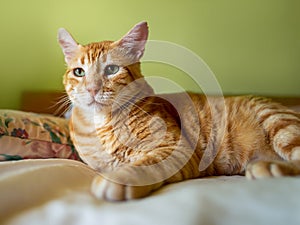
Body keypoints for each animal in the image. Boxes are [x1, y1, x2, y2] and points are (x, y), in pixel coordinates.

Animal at [58, 21, 300, 200]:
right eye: (79, 72)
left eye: (111, 69)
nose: (92, 88)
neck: (103, 124)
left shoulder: (175, 148)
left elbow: (143, 165)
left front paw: (119, 179)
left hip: (278, 122)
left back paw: (268, 167)